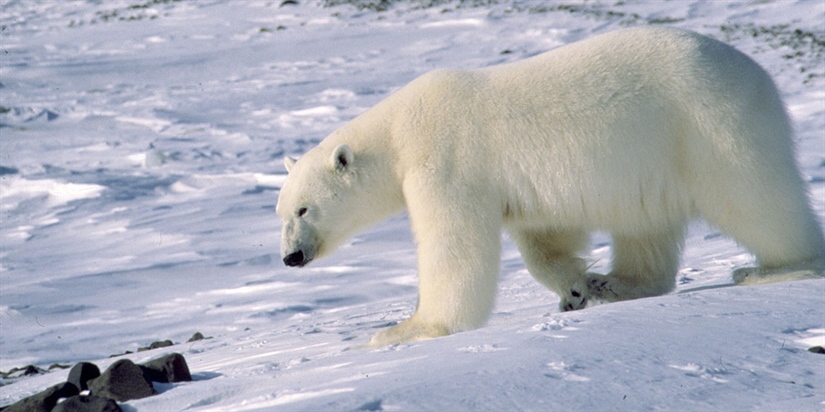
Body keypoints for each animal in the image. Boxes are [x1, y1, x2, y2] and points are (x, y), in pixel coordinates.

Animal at [278, 25, 824, 346]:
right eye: (281, 214)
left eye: (304, 209)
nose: (290, 258)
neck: (399, 132)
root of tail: (759, 74)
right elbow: (544, 237)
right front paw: (576, 287)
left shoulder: (447, 161)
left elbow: (454, 245)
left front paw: (408, 330)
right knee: (647, 225)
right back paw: (619, 283)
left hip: (705, 126)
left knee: (753, 196)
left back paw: (775, 268)